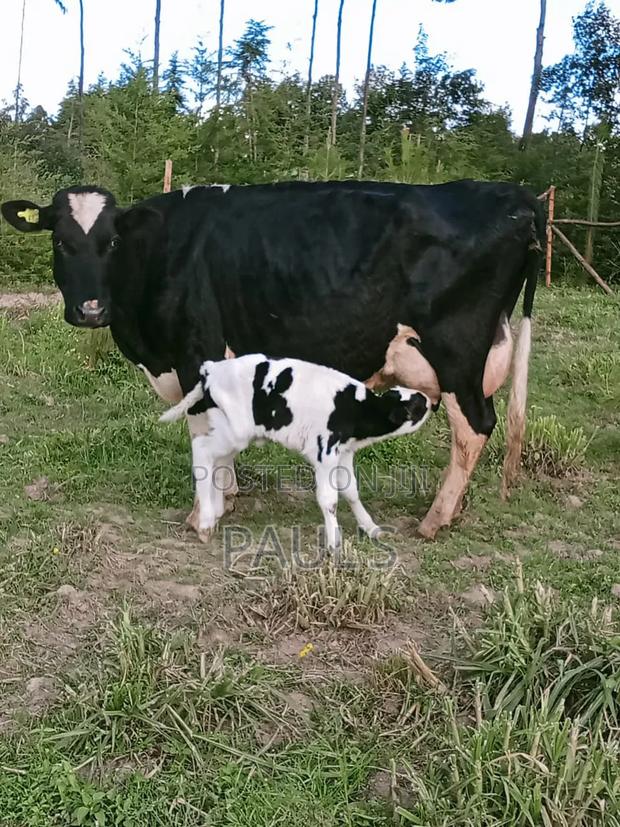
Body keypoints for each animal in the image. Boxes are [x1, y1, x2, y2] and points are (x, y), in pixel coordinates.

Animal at [159, 354, 432, 547]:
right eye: (416, 405)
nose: (432, 401)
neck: (357, 409)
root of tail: (212, 369)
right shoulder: (325, 452)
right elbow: (329, 500)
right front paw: (334, 544)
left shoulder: (344, 453)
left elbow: (351, 491)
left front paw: (371, 527)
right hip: (235, 432)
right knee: (202, 450)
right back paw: (205, 522)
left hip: (227, 430)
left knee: (217, 462)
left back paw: (214, 514)